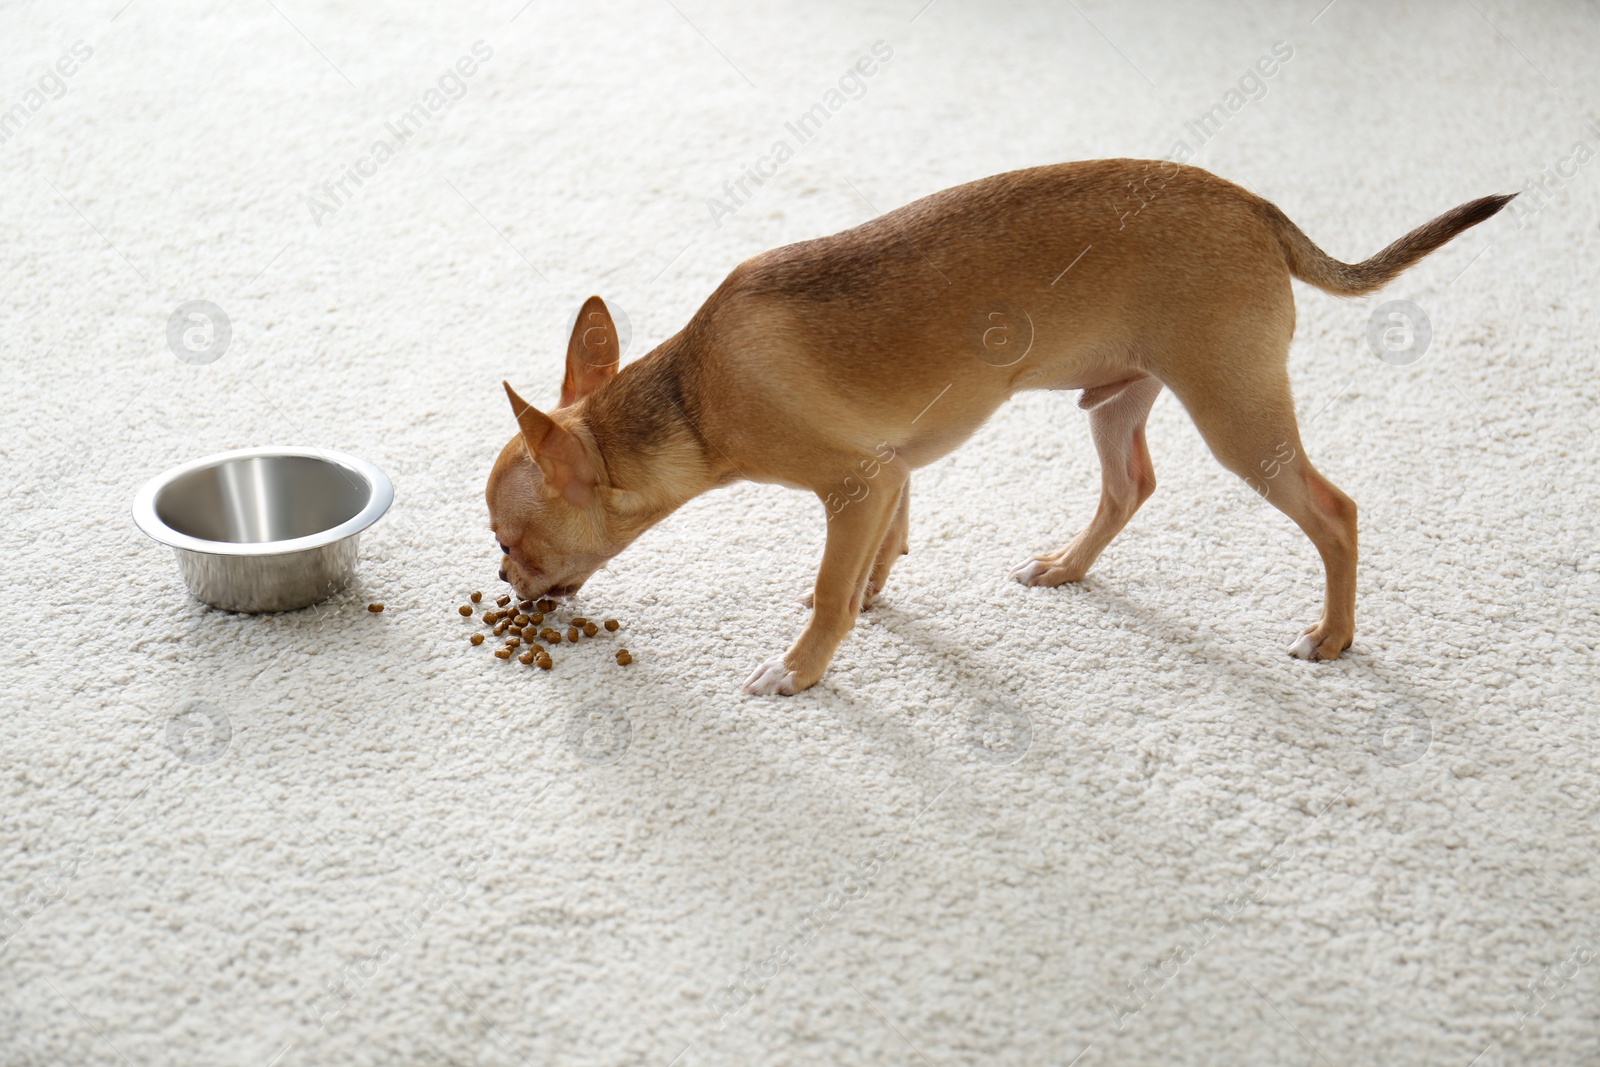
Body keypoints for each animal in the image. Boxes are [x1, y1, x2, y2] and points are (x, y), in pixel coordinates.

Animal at [486, 156, 1510, 694]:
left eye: (509, 541)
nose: (504, 580)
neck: (694, 397)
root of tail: (1256, 208)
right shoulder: (891, 472)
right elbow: (882, 549)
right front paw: (875, 594)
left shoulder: (854, 483)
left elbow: (828, 587)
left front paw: (801, 669)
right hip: (1118, 401)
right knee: (1129, 486)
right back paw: (1065, 565)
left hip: (1238, 421)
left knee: (1334, 512)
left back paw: (1332, 636)